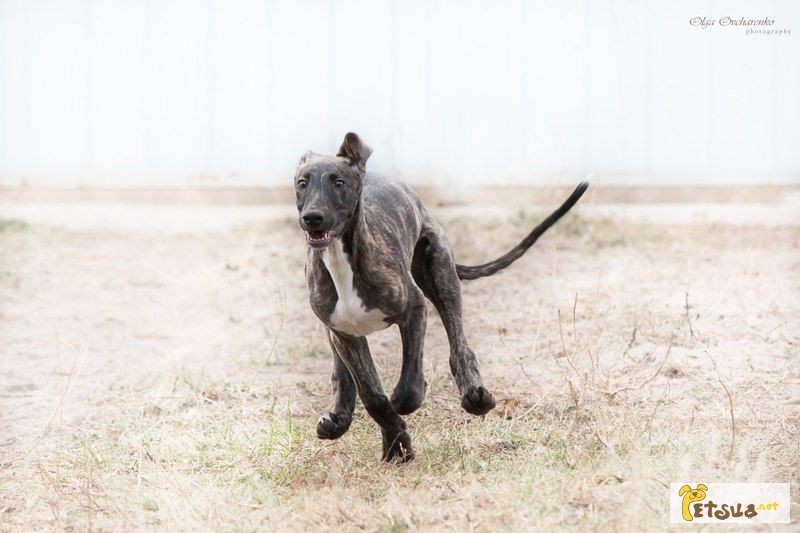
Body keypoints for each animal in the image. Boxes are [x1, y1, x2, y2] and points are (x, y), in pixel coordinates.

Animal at [294, 133, 588, 462]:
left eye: (339, 182)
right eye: (302, 183)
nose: (312, 218)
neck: (340, 258)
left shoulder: (414, 308)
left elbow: (408, 387)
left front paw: (401, 420)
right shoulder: (346, 334)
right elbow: (372, 396)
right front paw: (396, 445)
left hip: (440, 276)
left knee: (459, 345)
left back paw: (476, 396)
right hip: (335, 327)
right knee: (341, 372)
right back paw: (338, 419)